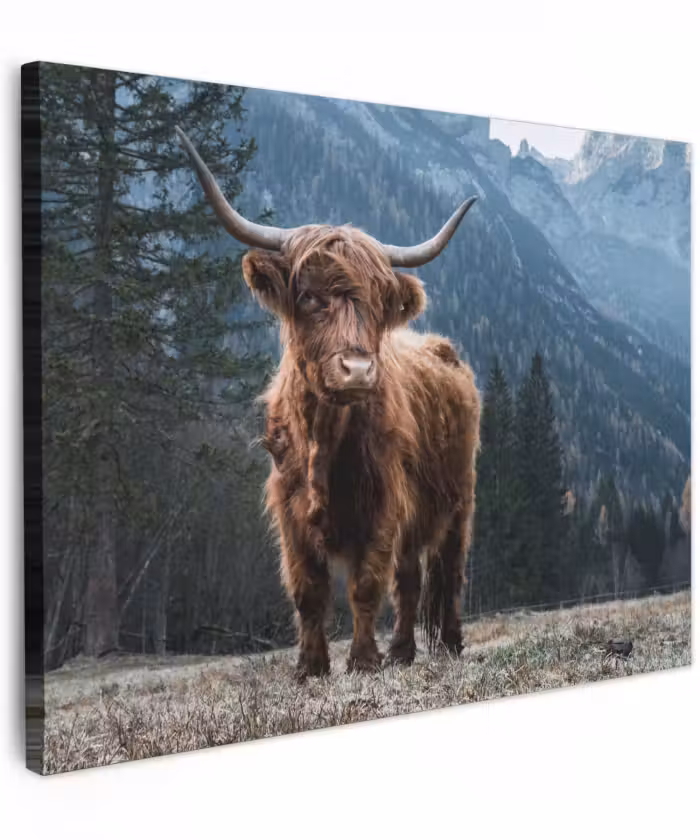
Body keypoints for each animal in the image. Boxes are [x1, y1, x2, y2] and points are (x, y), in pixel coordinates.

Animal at [176, 127, 481, 679]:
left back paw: (446, 643)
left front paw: (362, 660)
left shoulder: (383, 503)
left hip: (458, 500)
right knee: (409, 579)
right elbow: (307, 590)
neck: (324, 433)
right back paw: (402, 651)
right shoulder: (289, 509)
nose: (358, 370)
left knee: (448, 571)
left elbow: (365, 585)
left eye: (379, 302)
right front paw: (310, 667)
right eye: (309, 296)